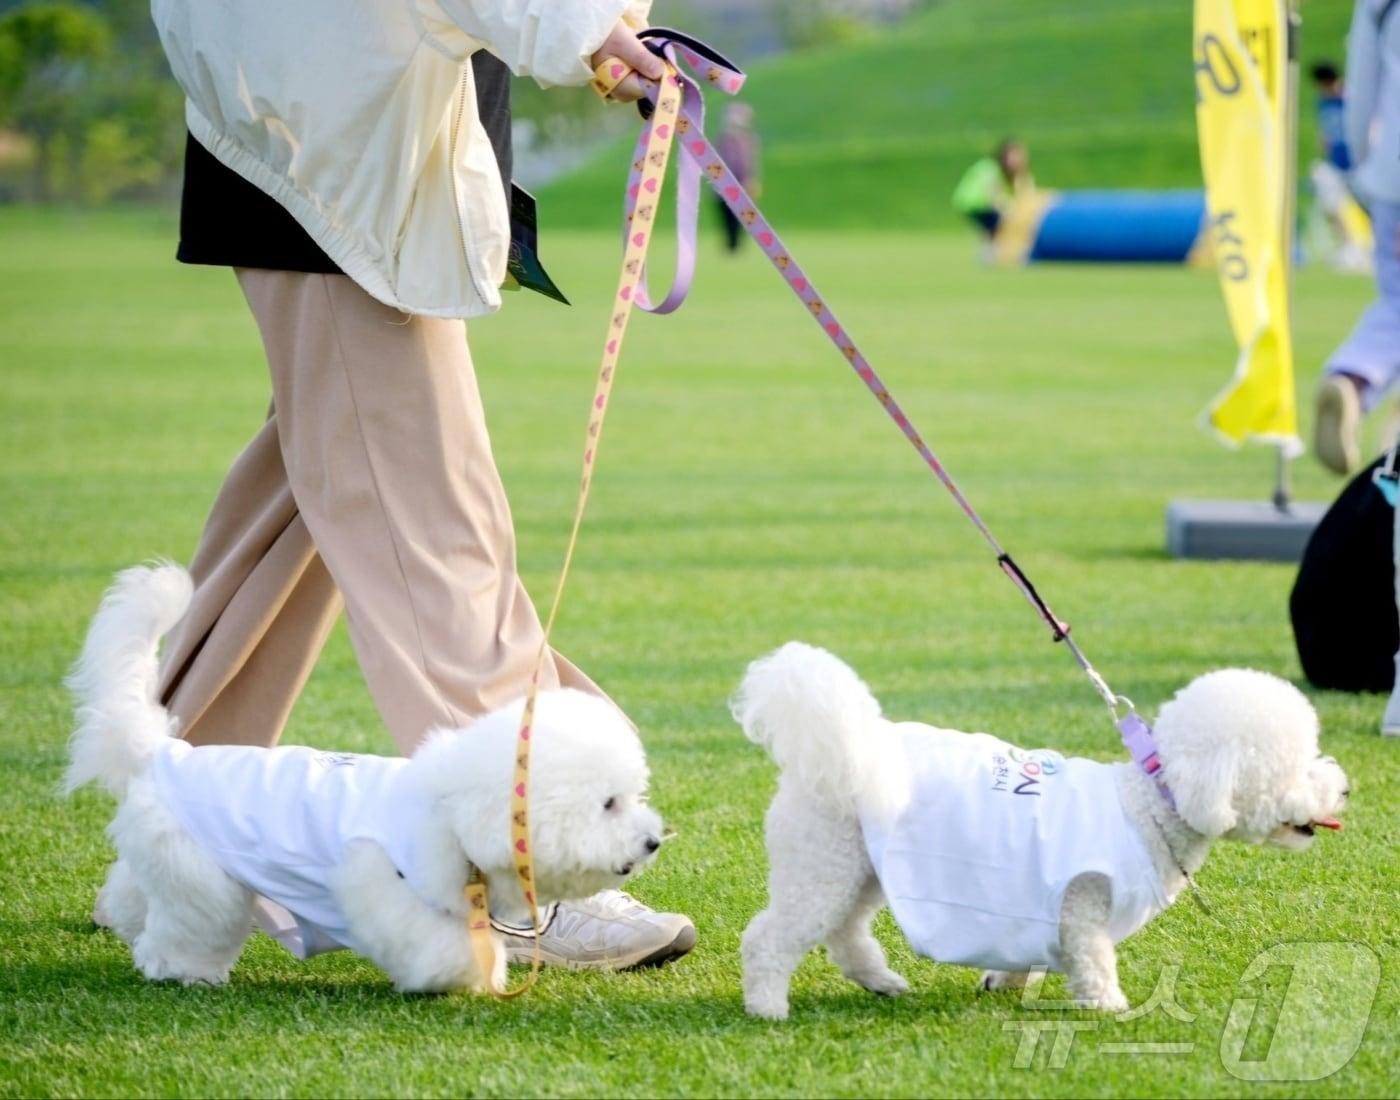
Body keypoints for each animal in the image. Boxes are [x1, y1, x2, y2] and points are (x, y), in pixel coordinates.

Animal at [68, 565, 669, 996]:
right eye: (608, 804)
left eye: (632, 796)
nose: (652, 842)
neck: (454, 816)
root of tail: (163, 752)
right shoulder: (383, 883)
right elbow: (438, 944)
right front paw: (467, 975)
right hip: (208, 879)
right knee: (185, 929)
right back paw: (182, 970)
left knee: (137, 890)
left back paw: (123, 918)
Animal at [733, 638, 1344, 1013]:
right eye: (1295, 763)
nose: (1343, 788)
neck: (1150, 804)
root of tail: (834, 747)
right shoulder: (1083, 904)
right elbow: (1092, 956)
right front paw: (1108, 1005)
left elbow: (1027, 952)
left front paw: (1003, 981)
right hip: (823, 861)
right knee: (771, 936)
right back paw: (766, 1006)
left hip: (858, 866)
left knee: (843, 931)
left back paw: (880, 981)